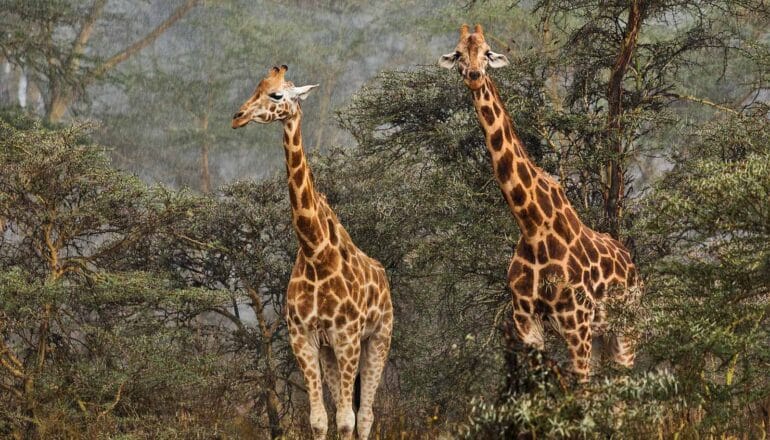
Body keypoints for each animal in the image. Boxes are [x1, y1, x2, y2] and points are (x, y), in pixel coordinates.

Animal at [231, 63, 392, 438]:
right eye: (256, 88)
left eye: (276, 94)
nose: (238, 117)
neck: (316, 252)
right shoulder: (303, 336)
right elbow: (319, 419)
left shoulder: (347, 336)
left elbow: (347, 419)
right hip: (331, 351)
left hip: (378, 338)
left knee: (365, 415)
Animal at [438, 24, 640, 382]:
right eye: (459, 53)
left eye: (487, 52)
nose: (474, 74)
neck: (532, 225)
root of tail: (635, 270)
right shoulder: (526, 321)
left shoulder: (577, 323)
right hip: (602, 336)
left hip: (625, 329)